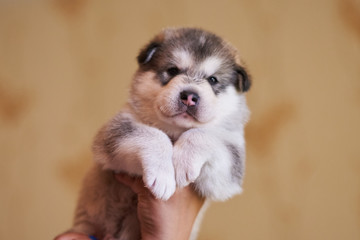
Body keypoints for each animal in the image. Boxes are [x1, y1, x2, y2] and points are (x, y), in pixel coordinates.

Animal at [69, 27, 252, 240]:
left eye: (213, 79)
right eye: (172, 71)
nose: (189, 97)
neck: (176, 129)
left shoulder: (229, 168)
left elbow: (203, 134)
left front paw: (184, 162)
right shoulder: (116, 131)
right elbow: (153, 135)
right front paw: (162, 176)